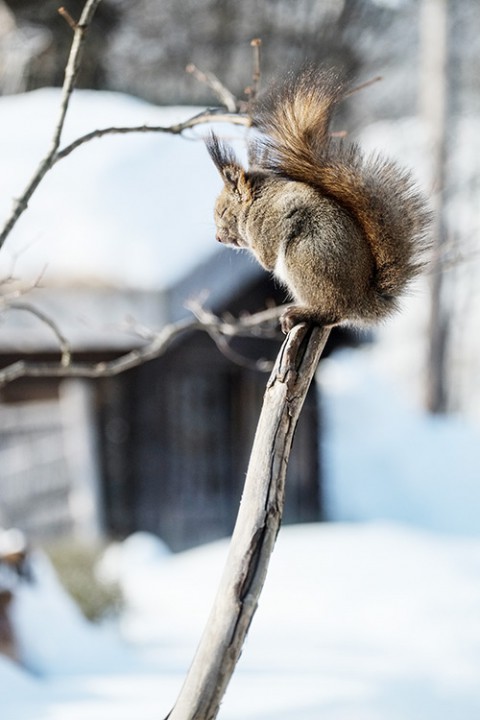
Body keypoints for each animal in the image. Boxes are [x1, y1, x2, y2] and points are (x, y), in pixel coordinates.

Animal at [206, 67, 432, 332]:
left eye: (222, 213)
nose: (218, 238)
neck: (257, 203)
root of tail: (361, 302)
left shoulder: (268, 227)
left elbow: (267, 258)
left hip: (304, 258)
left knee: (332, 312)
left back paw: (299, 313)